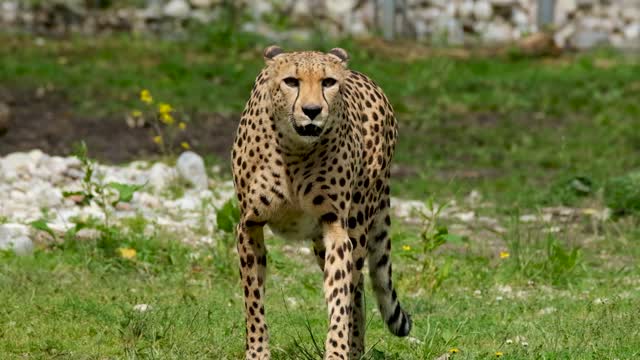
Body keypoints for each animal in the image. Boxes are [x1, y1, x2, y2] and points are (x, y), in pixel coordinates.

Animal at [231, 46, 410, 358]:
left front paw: (337, 350)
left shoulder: (336, 227)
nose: (312, 111)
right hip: (318, 242)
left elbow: (340, 297)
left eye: (328, 82)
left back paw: (355, 348)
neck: (294, 149)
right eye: (291, 81)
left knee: (357, 288)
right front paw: (257, 351)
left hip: (356, 226)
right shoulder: (249, 224)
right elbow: (253, 299)